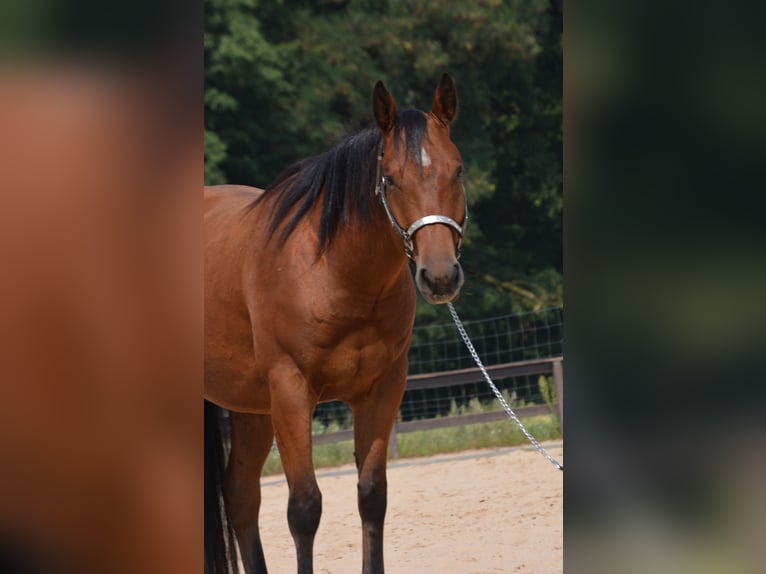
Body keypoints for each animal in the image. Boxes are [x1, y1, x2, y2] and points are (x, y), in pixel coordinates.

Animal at [204, 73, 467, 574]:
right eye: (390, 178)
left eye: (458, 171)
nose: (440, 276)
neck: (334, 271)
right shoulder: (291, 391)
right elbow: (305, 507)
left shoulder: (382, 389)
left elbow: (372, 496)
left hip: (250, 409)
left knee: (240, 495)